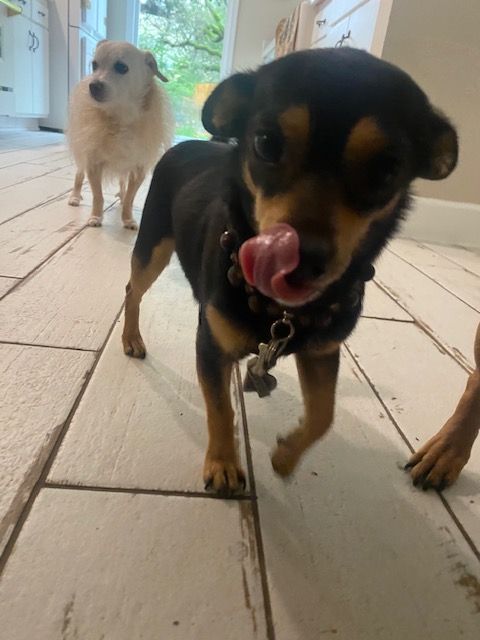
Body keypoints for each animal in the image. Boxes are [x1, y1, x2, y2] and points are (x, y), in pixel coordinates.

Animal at [67, 40, 174, 230]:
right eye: (94, 65)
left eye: (121, 67)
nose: (93, 85)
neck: (122, 118)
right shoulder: (93, 164)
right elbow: (98, 196)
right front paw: (96, 217)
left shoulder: (138, 170)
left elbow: (131, 198)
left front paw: (128, 219)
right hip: (82, 152)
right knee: (79, 175)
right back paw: (75, 196)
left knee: (123, 182)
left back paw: (122, 196)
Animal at [121, 48, 458, 495]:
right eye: (265, 143)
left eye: (387, 170)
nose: (302, 257)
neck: (279, 311)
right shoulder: (211, 345)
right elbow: (220, 410)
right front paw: (223, 464)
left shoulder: (322, 351)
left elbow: (324, 414)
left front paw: (285, 456)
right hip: (154, 246)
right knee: (133, 290)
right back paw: (131, 338)